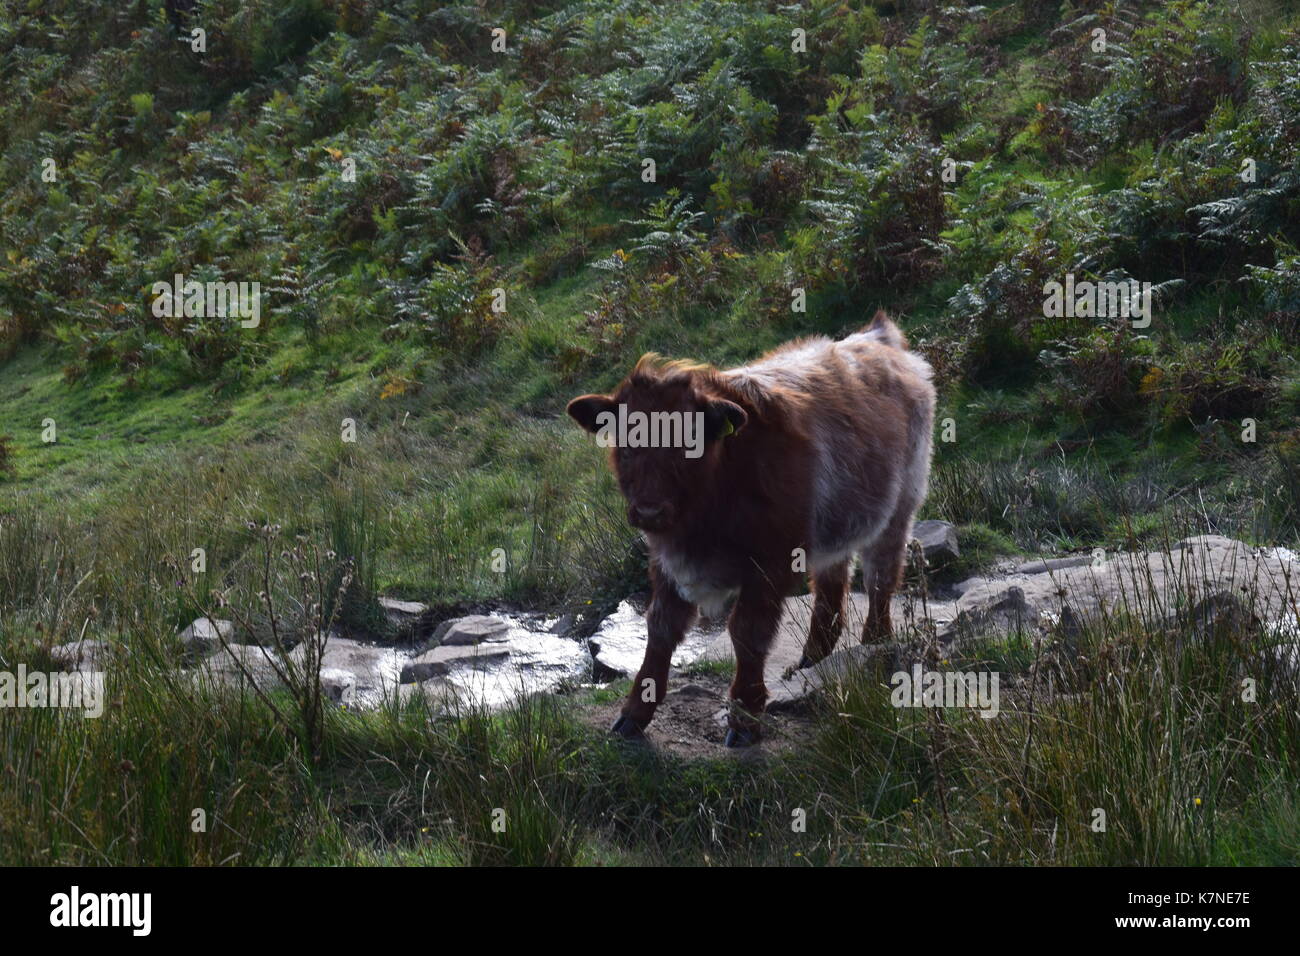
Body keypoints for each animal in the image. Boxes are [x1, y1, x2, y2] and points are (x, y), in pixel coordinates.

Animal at [569, 314, 935, 749]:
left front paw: (744, 717)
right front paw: (634, 713)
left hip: (898, 509)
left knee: (881, 578)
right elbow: (661, 628)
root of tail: (878, 337)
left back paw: (875, 643)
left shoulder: (770, 564)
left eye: (688, 445)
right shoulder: (666, 560)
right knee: (832, 582)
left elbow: (748, 633)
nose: (649, 511)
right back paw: (813, 656)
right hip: (836, 521)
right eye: (625, 446)